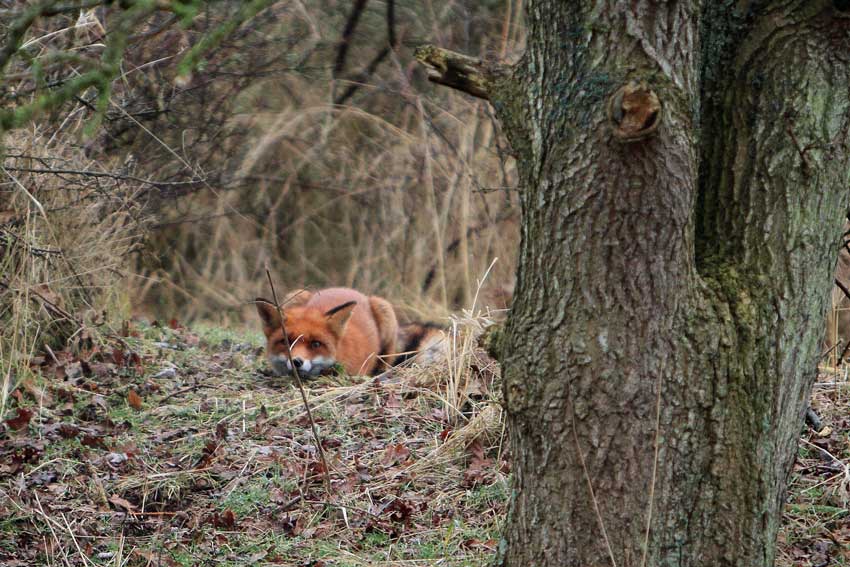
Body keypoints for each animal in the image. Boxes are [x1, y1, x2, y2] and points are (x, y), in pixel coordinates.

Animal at [256, 287, 399, 377]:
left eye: (316, 344)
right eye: (286, 341)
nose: (296, 362)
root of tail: (346, 289)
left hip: (385, 314)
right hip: (296, 295)